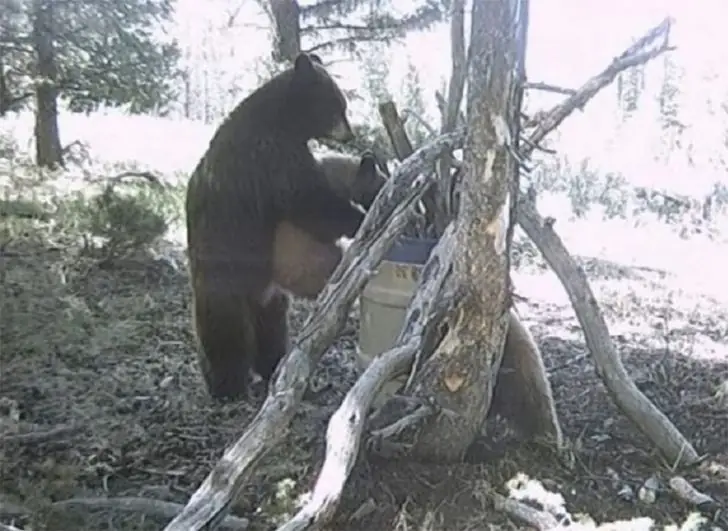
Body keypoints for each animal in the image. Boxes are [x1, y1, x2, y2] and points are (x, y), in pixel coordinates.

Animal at [186, 52, 369, 401]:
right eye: (338, 106)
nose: (350, 134)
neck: (283, 121)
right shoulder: (270, 157)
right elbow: (308, 200)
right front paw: (356, 218)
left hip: (269, 295)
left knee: (272, 329)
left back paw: (272, 366)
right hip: (224, 273)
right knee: (224, 331)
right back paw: (227, 385)